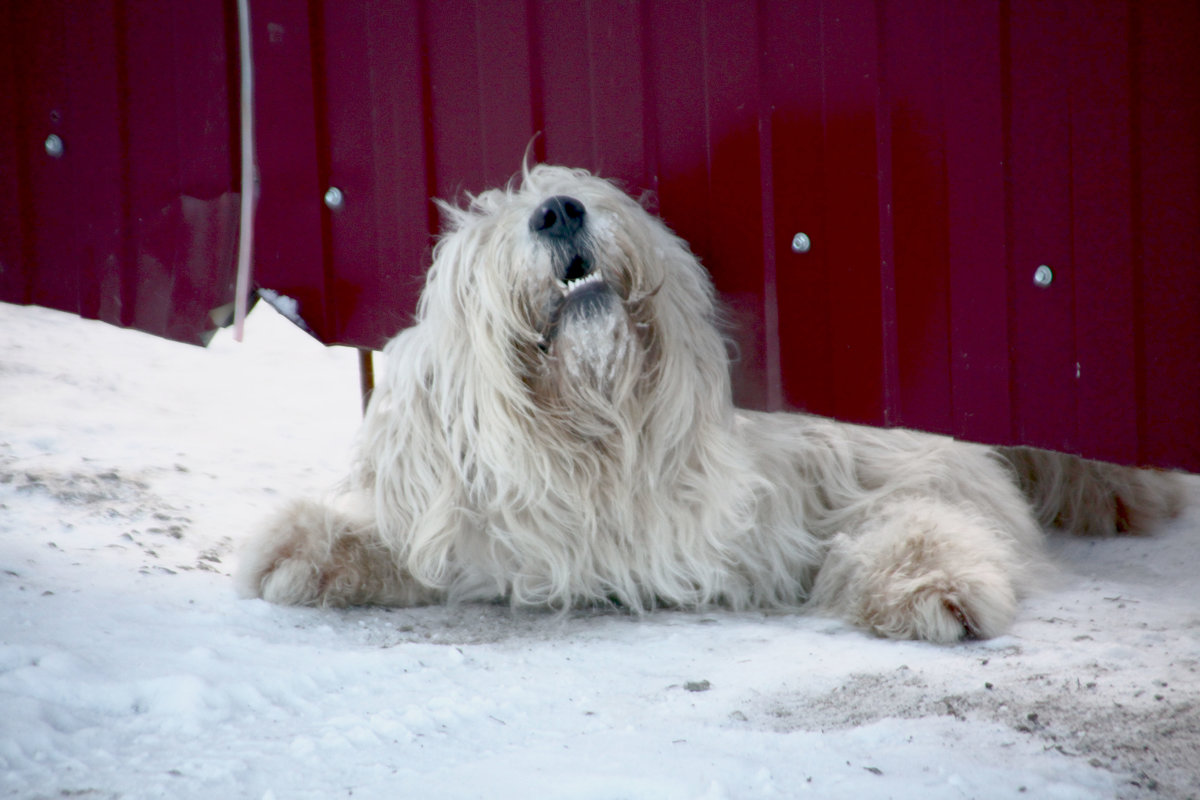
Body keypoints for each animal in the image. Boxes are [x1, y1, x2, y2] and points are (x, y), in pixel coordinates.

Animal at [234, 164, 1180, 642]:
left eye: (580, 190)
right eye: (488, 237)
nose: (558, 211)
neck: (614, 441)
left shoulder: (891, 449)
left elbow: (924, 507)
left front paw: (930, 583)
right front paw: (309, 548)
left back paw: (1120, 488)